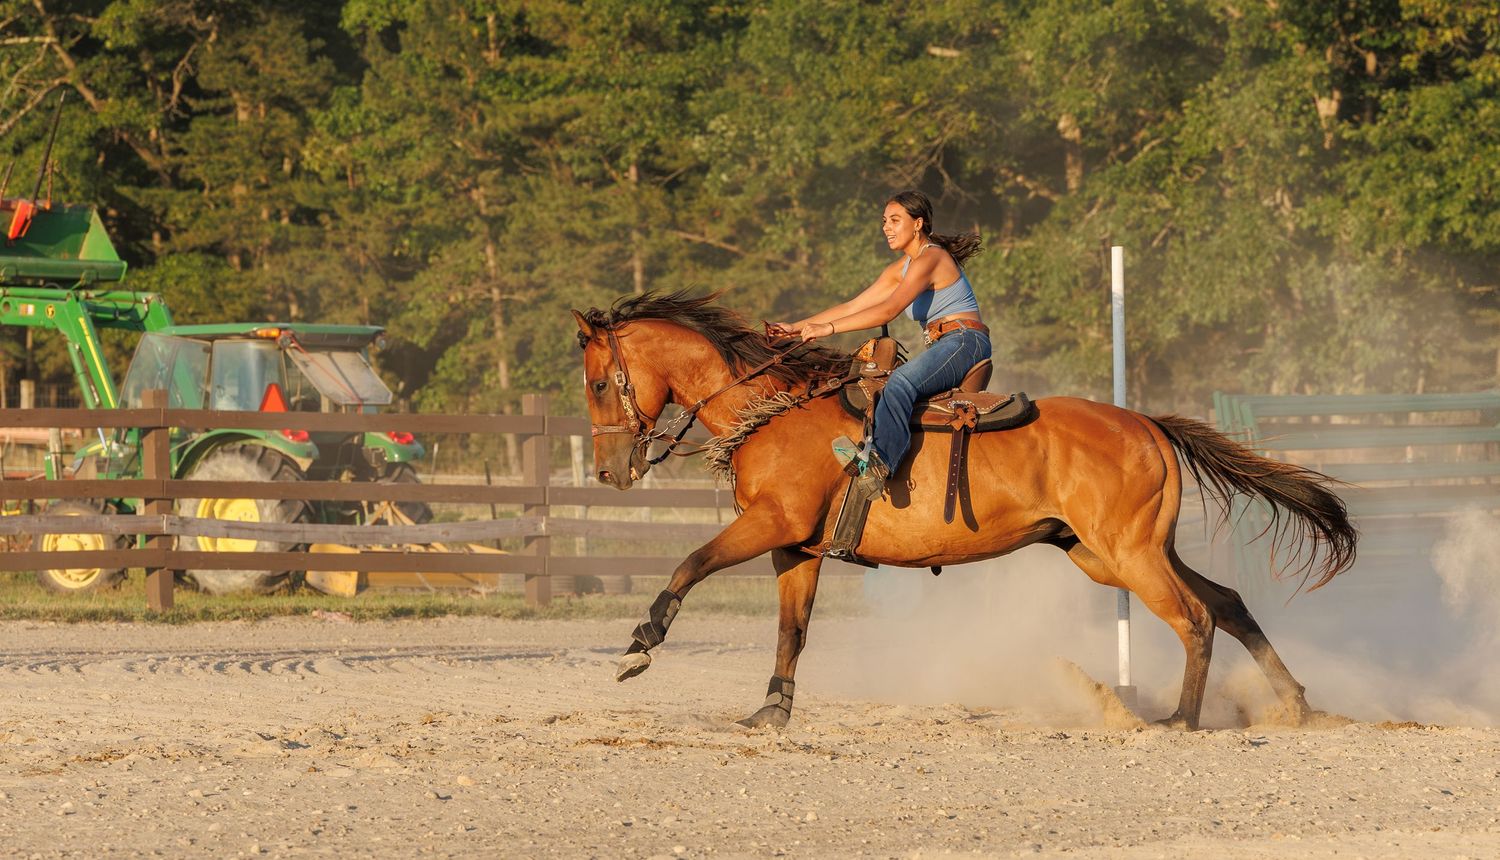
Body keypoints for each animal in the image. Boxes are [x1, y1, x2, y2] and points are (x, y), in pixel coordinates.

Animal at [573, 292, 1357, 730]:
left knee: (1195, 617)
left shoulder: (770, 526)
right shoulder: (794, 549)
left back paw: (1182, 719)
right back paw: (1296, 705)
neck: (772, 412)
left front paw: (639, 646)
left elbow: (691, 562)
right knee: (1226, 602)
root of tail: (1146, 424)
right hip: (1111, 553)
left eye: (599, 383)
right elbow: (791, 632)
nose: (611, 471)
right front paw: (772, 710)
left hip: (1129, 554)